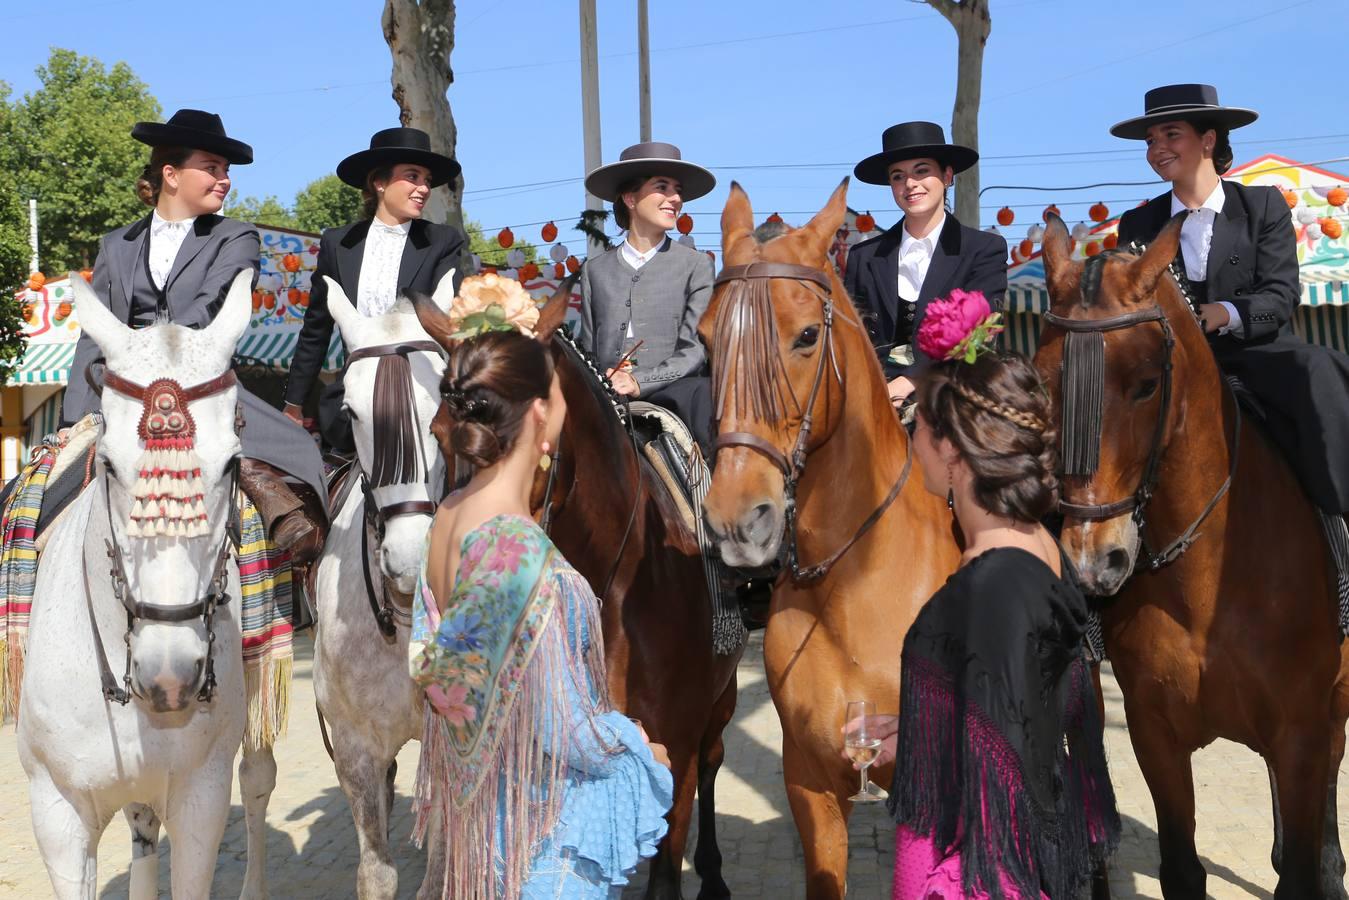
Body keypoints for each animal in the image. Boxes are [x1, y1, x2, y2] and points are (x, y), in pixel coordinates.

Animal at [19, 271, 276, 895]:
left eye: (233, 465)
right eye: (109, 466)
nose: (170, 677)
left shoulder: (202, 799)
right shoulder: (56, 815)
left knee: (258, 780)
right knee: (141, 827)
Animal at [412, 284, 744, 895]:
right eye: (439, 434)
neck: (623, 587)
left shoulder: (676, 748)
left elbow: (666, 868)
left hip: (721, 695)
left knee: (715, 758)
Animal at [1030, 218, 1349, 900]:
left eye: (1147, 383)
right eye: (1042, 382)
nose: (1093, 564)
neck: (1209, 583)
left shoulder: (1300, 732)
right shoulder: (1156, 734)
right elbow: (1181, 868)